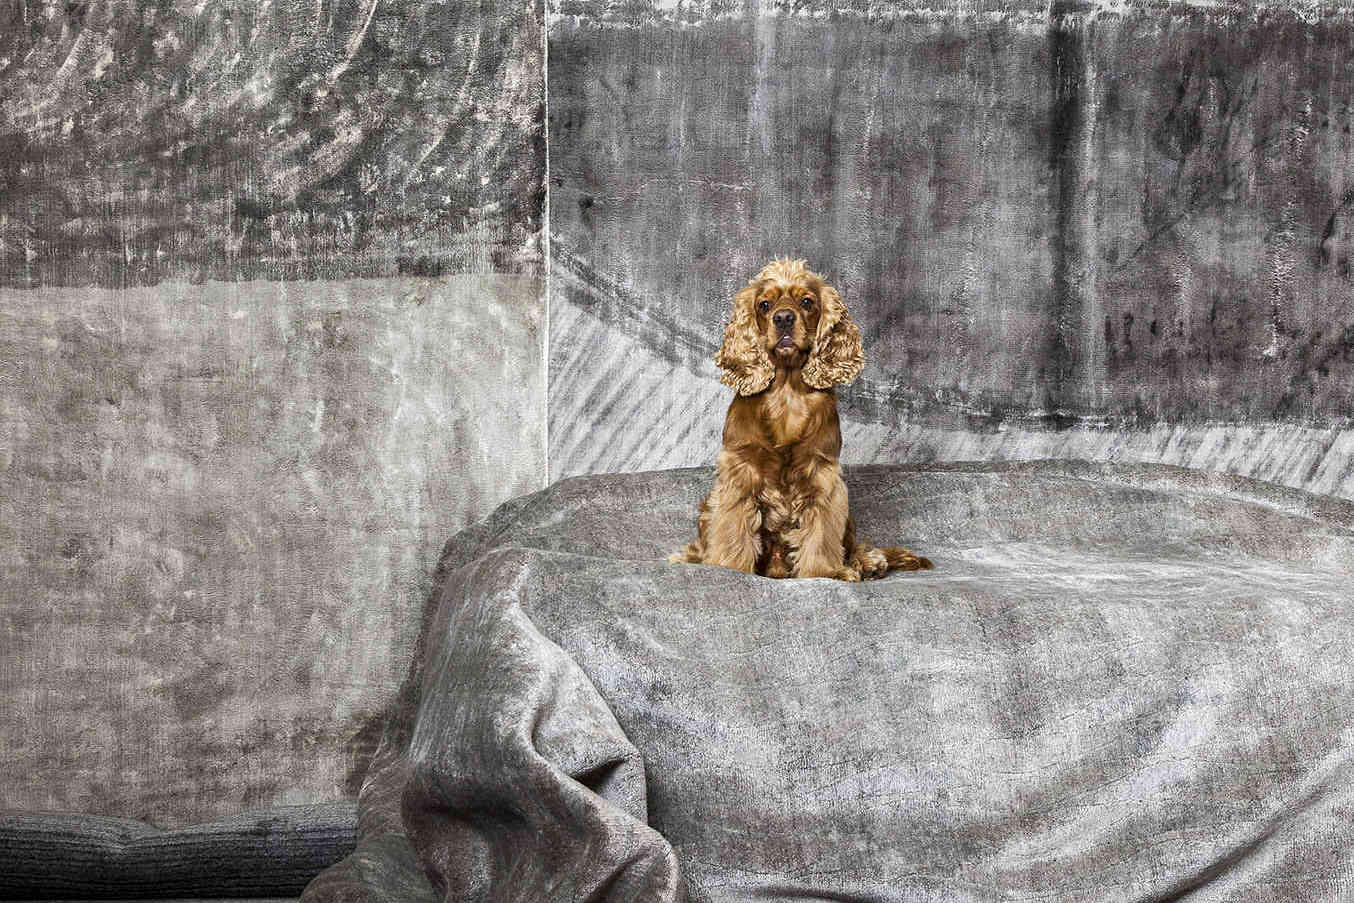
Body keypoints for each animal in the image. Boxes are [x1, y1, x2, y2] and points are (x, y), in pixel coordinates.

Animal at [670, 258, 932, 581]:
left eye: (807, 302)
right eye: (765, 304)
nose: (783, 318)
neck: (787, 390)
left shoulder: (822, 474)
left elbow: (821, 531)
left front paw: (825, 572)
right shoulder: (740, 471)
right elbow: (733, 529)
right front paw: (727, 569)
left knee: (853, 544)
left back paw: (868, 563)